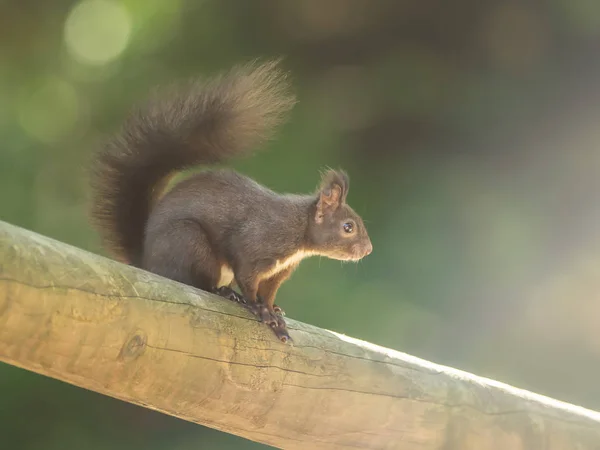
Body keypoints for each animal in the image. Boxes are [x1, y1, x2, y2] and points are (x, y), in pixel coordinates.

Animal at [89, 59, 372, 342]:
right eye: (348, 227)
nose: (368, 250)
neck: (298, 229)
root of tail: (145, 261)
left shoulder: (277, 272)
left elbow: (268, 292)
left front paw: (273, 310)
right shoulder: (252, 246)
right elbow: (248, 280)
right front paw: (260, 310)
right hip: (188, 242)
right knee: (195, 282)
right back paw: (224, 292)